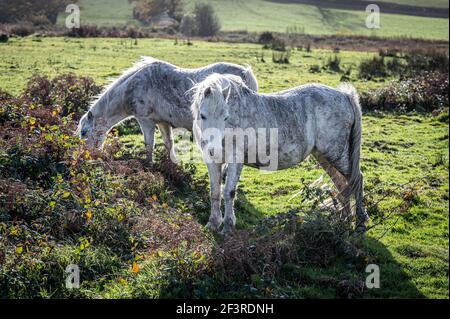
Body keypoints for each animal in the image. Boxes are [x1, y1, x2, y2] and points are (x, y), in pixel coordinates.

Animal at [77, 57, 256, 162]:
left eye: (83, 132)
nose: (85, 156)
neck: (133, 86)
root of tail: (244, 74)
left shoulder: (146, 120)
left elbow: (149, 145)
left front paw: (149, 164)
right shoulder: (163, 122)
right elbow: (168, 143)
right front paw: (173, 164)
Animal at [190, 74, 370, 235]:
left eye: (226, 117)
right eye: (202, 115)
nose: (214, 149)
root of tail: (345, 96)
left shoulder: (235, 159)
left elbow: (229, 192)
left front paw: (227, 226)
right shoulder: (212, 161)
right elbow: (215, 192)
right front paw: (213, 224)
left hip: (336, 155)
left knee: (356, 179)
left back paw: (359, 225)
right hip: (324, 156)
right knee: (342, 185)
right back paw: (344, 222)